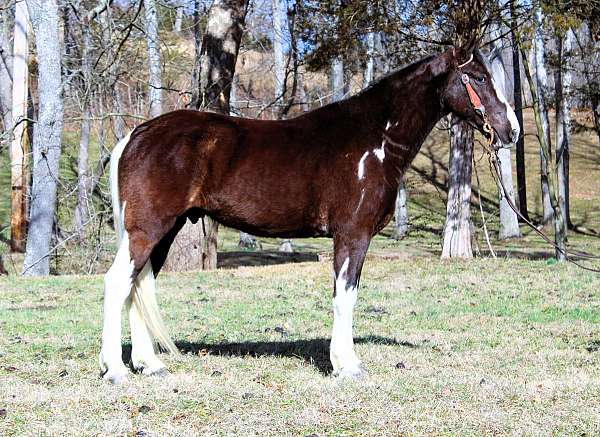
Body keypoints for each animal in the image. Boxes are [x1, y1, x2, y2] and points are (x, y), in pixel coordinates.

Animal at [99, 44, 520, 382]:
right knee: (119, 282)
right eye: (478, 77)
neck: (375, 140)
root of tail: (137, 134)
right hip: (148, 228)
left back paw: (150, 364)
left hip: (164, 231)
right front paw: (346, 365)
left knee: (139, 283)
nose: (511, 130)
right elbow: (345, 296)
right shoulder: (352, 234)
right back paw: (116, 369)